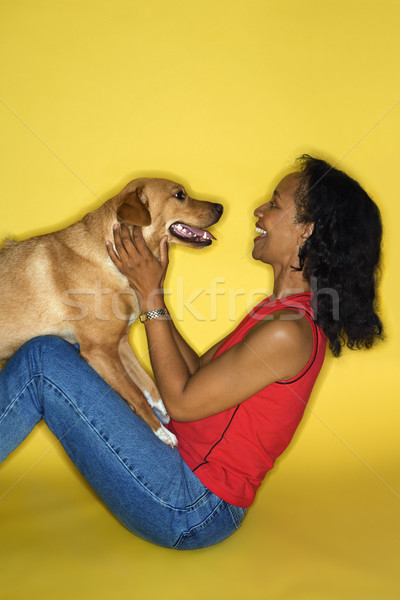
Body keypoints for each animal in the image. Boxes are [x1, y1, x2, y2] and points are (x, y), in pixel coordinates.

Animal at [0, 177, 222, 446]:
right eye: (179, 195)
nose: (221, 207)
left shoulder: (120, 344)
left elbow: (149, 386)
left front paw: (166, 414)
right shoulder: (100, 352)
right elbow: (136, 395)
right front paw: (163, 433)